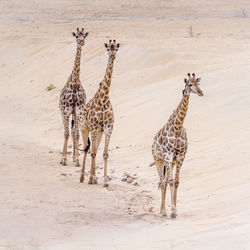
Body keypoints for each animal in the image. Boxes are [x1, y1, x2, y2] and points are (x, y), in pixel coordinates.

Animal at [79, 39, 120, 188]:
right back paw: (83, 177)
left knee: (94, 149)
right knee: (87, 148)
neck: (103, 99)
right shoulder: (94, 127)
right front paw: (91, 179)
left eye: (116, 48)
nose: (112, 56)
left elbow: (104, 154)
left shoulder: (107, 128)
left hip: (99, 132)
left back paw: (94, 178)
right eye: (108, 48)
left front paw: (105, 182)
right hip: (84, 128)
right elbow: (92, 152)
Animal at [150, 73, 203, 218]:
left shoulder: (180, 156)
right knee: (163, 182)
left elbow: (177, 182)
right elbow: (171, 182)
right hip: (159, 160)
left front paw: (175, 210)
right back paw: (163, 211)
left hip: (170, 162)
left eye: (198, 83)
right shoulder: (168, 156)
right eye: (189, 84)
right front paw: (171, 211)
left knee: (165, 181)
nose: (201, 92)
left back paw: (164, 210)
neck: (178, 126)